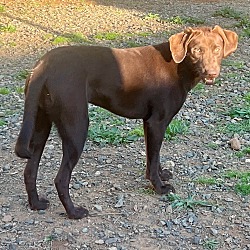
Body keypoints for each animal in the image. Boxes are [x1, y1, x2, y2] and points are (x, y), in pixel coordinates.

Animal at [15, 25, 238, 219]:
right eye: (196, 50)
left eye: (217, 48)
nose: (211, 72)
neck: (178, 66)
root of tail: (42, 66)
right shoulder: (157, 122)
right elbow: (154, 158)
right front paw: (159, 187)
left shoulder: (149, 123)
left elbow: (153, 157)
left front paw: (160, 175)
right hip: (76, 127)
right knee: (60, 179)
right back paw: (74, 212)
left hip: (41, 125)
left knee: (29, 171)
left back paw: (36, 204)